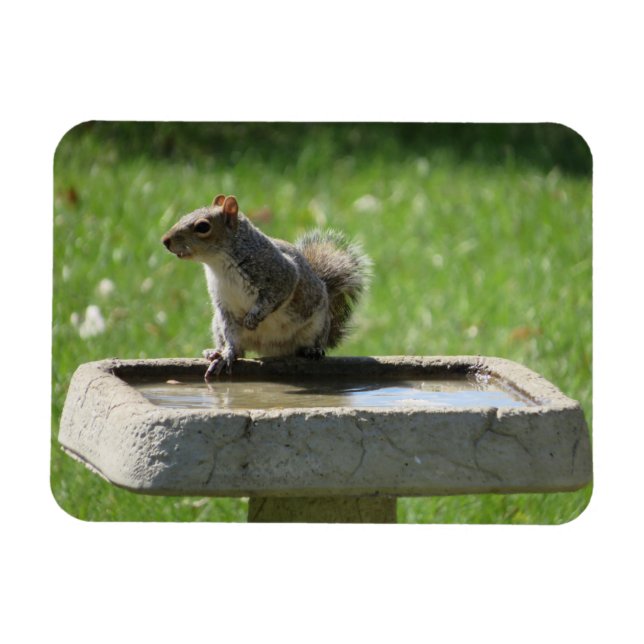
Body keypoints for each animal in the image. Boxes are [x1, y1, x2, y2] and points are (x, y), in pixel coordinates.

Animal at [162, 194, 371, 379]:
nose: (165, 241)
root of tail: (270, 348)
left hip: (317, 324)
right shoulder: (225, 306)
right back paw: (216, 352)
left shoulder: (281, 274)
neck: (218, 264)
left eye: (203, 227)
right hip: (217, 325)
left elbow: (275, 296)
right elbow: (231, 333)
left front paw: (253, 318)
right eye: (183, 216)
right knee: (237, 347)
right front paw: (227, 354)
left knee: (312, 342)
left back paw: (313, 350)